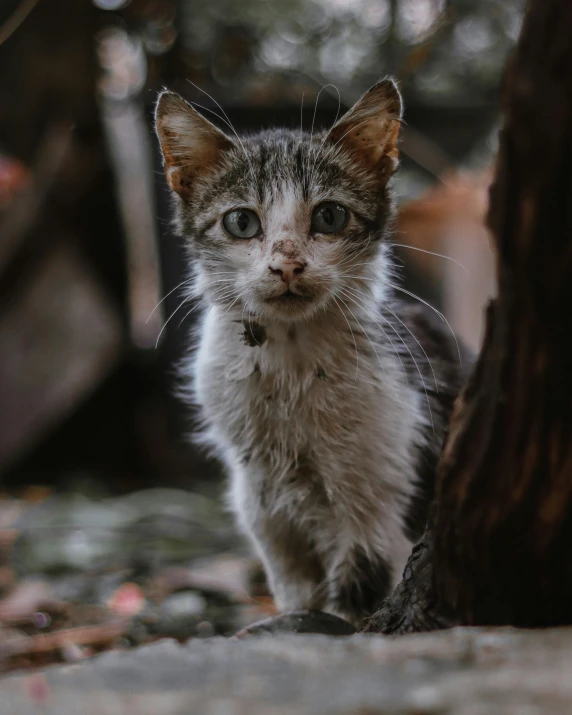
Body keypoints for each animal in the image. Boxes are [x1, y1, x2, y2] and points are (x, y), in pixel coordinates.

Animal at [154, 79, 466, 628]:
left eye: (330, 215)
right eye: (241, 222)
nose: (287, 265)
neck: (289, 360)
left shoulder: (381, 502)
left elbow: (358, 589)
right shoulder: (260, 501)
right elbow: (295, 590)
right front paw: (295, 620)